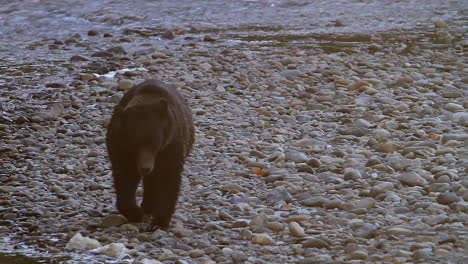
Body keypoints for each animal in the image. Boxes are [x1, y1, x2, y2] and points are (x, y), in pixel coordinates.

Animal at [105, 78, 194, 229]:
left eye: (154, 144)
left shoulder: (171, 143)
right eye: (134, 145)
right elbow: (125, 175)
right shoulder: (120, 145)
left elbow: (169, 177)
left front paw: (159, 222)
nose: (145, 167)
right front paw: (135, 213)